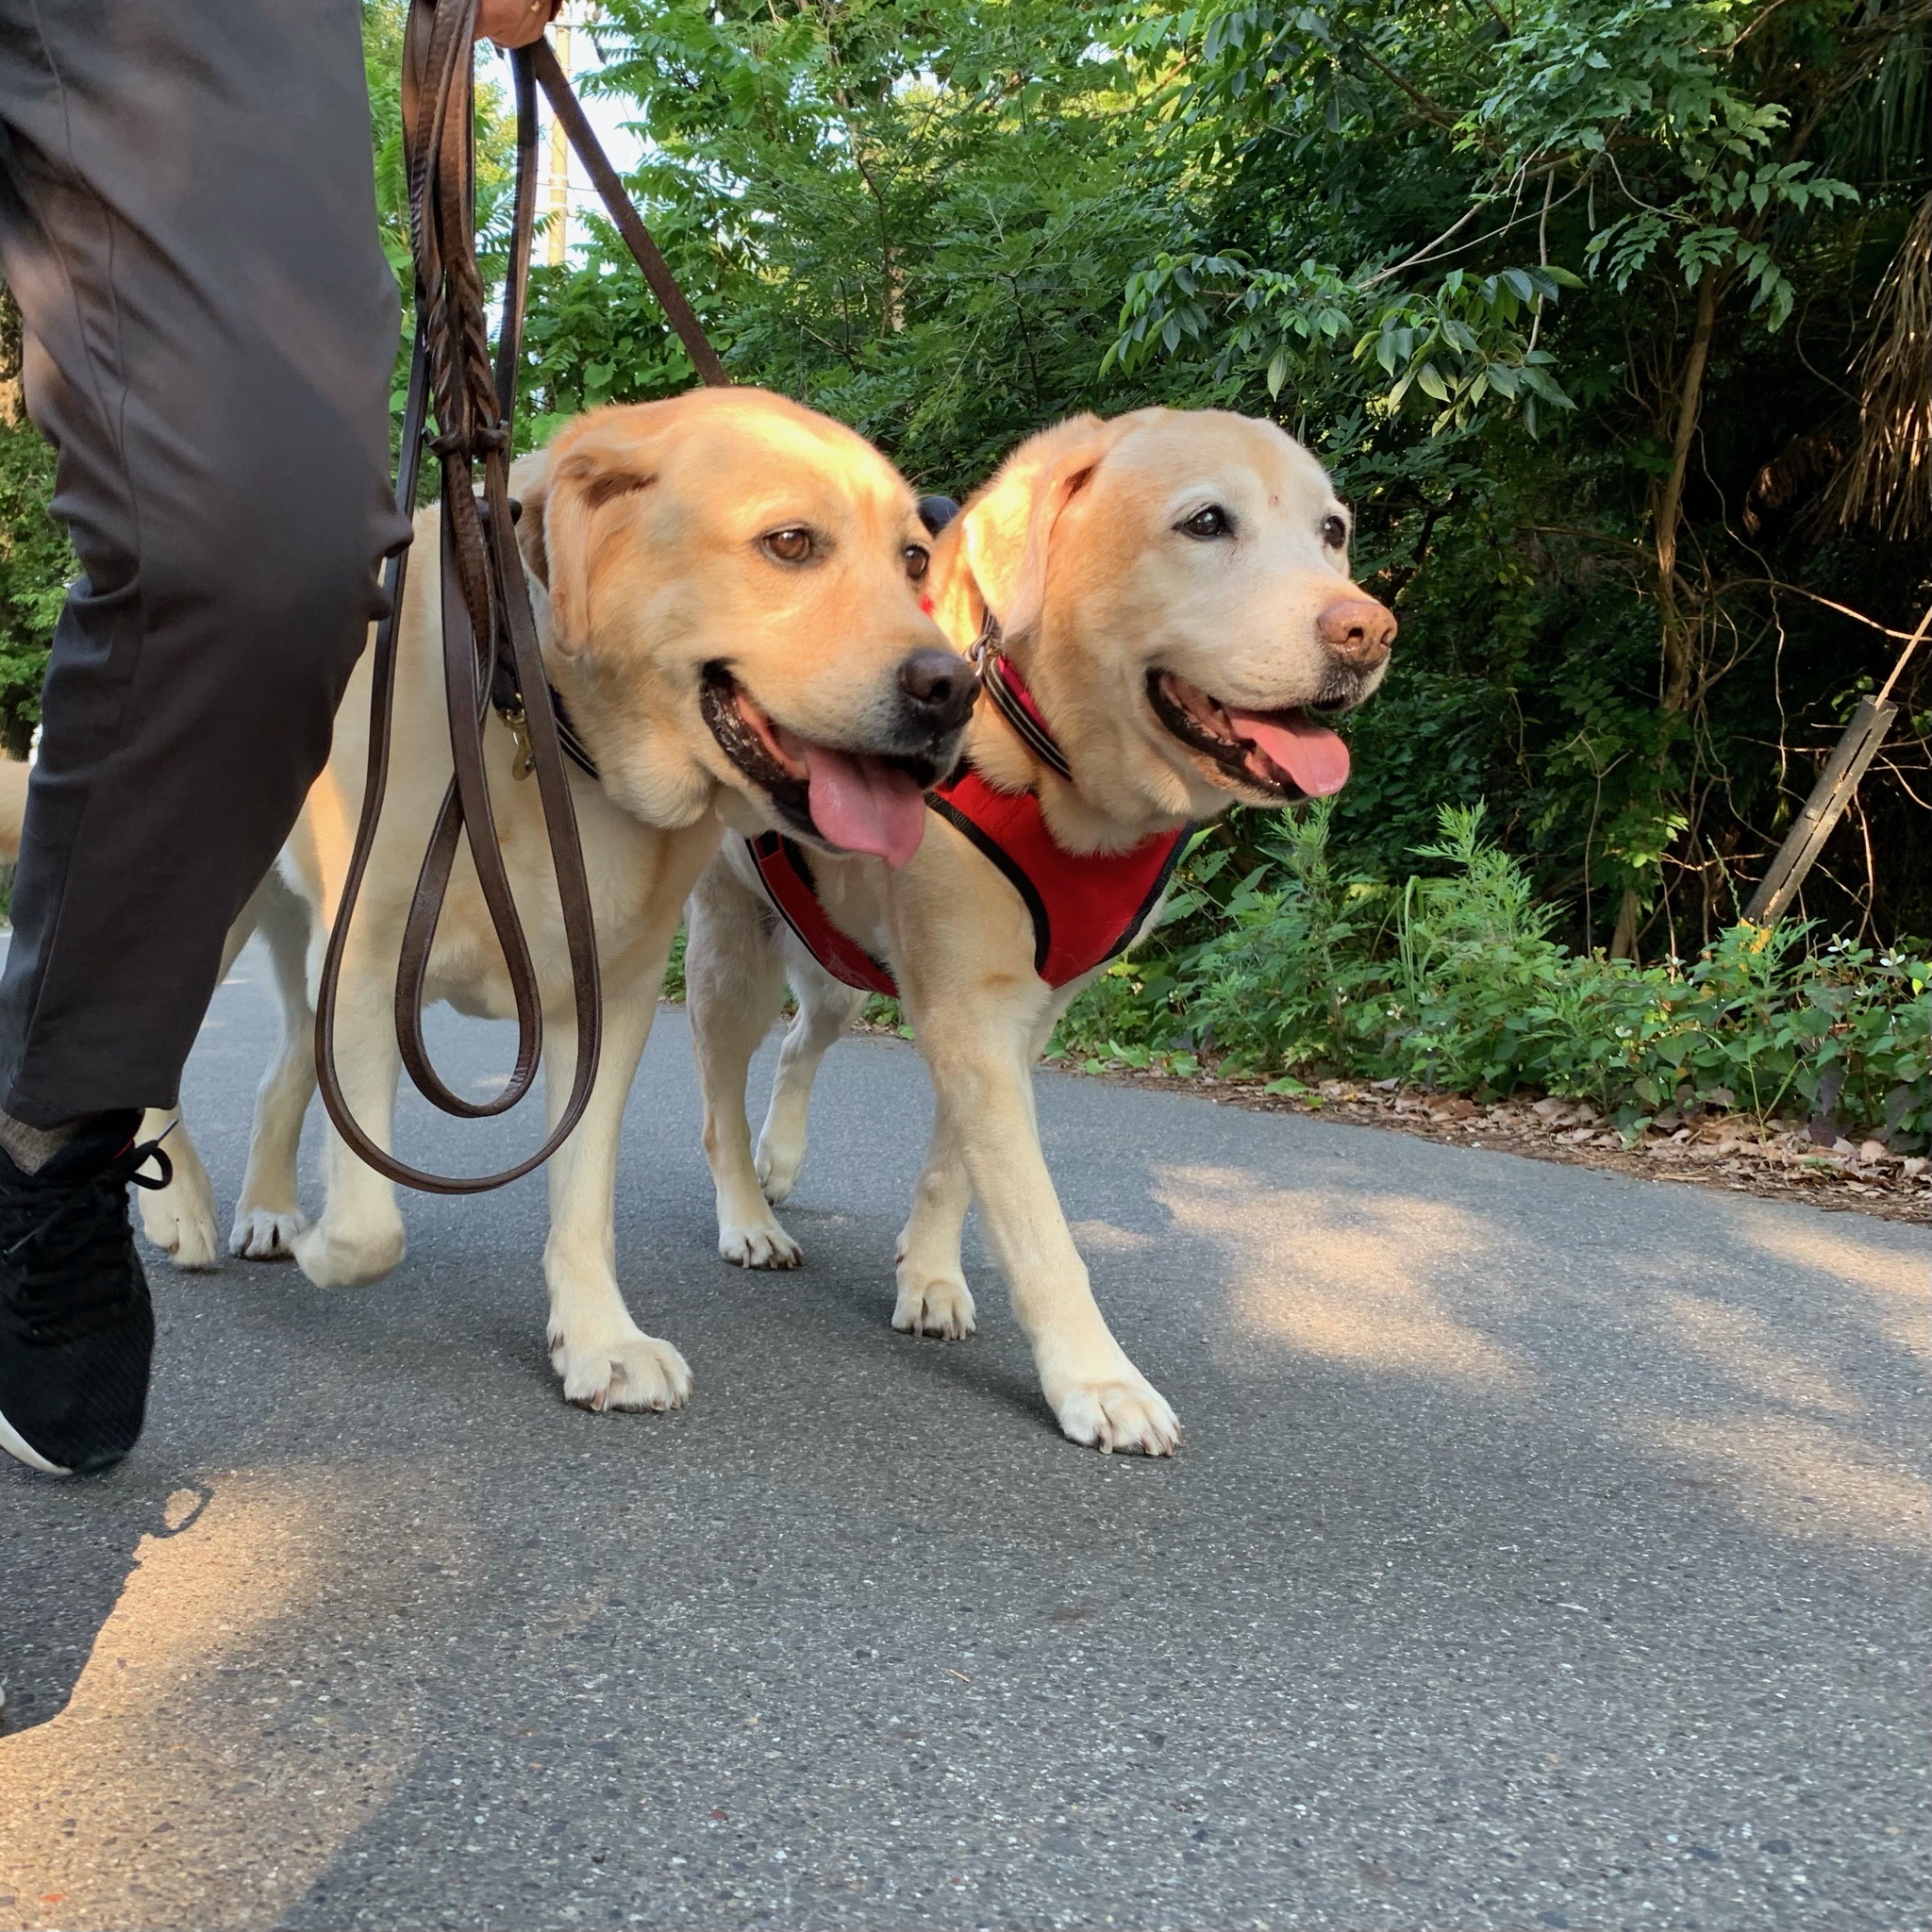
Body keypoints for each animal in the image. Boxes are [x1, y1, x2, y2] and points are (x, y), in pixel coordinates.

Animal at [126, 384, 974, 1414]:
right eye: (790, 543)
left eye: (913, 559)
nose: (955, 689)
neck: (535, 718)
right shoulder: (368, 961)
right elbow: (372, 1223)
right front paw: (330, 1245)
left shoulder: (605, 1001)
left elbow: (582, 1193)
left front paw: (600, 1339)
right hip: (217, 905)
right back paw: (183, 1209)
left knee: (280, 1071)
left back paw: (269, 1209)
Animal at [688, 411, 1398, 1460]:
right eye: (1205, 522)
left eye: (1332, 531)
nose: (1368, 630)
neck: (1056, 768)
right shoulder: (969, 1014)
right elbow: (1038, 1225)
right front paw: (1098, 1381)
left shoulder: (1012, 1015)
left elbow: (955, 1168)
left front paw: (930, 1276)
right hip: (728, 954)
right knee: (720, 1102)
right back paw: (746, 1212)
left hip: (839, 963)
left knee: (799, 1041)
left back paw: (780, 1162)